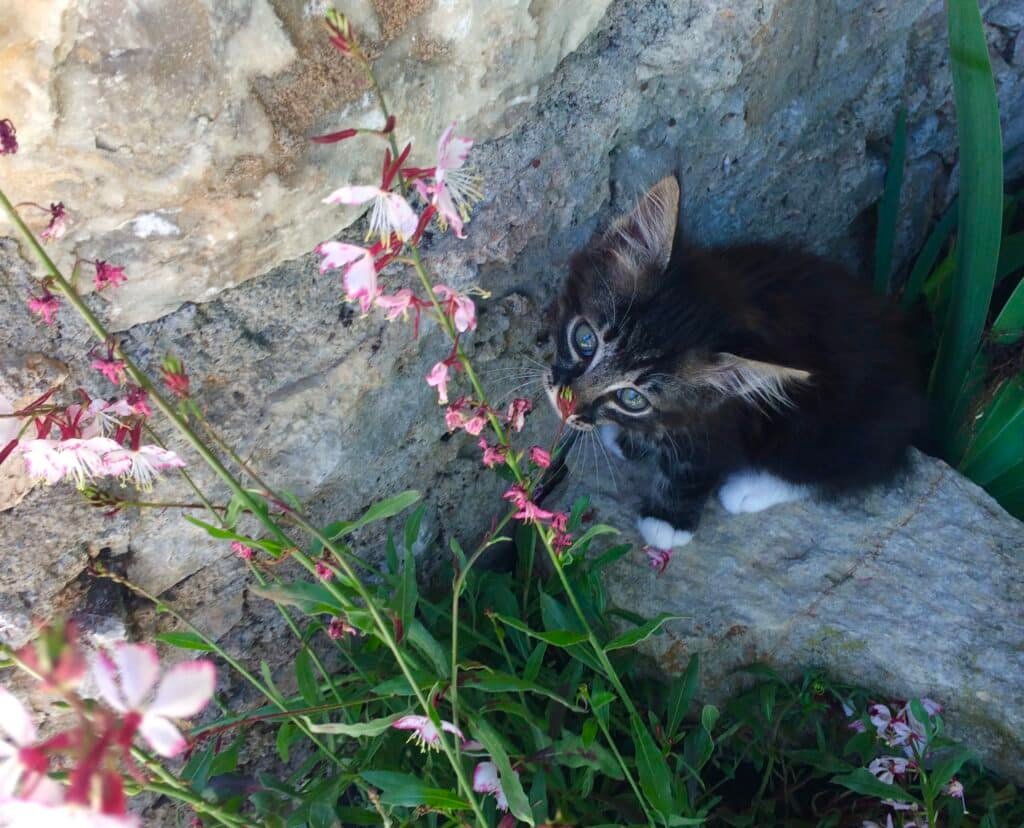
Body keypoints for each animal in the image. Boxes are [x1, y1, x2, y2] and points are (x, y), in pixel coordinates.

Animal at [548, 175, 925, 548]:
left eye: (632, 398)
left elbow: (697, 461)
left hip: (832, 422)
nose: (566, 404)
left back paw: (749, 489)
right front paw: (629, 440)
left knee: (842, 465)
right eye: (585, 339)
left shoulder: (730, 415)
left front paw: (668, 520)